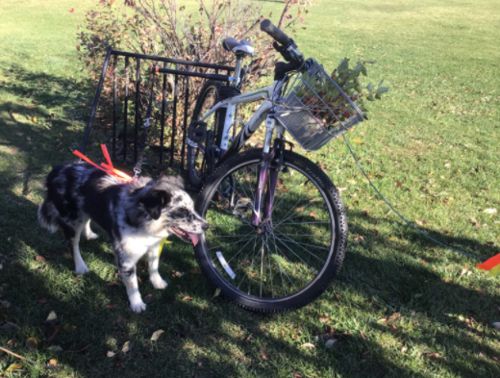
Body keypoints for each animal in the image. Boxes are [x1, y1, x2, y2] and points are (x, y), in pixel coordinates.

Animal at [37, 162, 207, 314]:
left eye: (192, 208)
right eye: (182, 211)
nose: (206, 226)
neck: (144, 222)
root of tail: (57, 169)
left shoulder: (154, 245)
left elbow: (153, 266)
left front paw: (157, 282)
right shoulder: (126, 259)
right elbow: (132, 284)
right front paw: (137, 303)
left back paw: (90, 234)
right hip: (72, 220)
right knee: (73, 244)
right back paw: (80, 266)